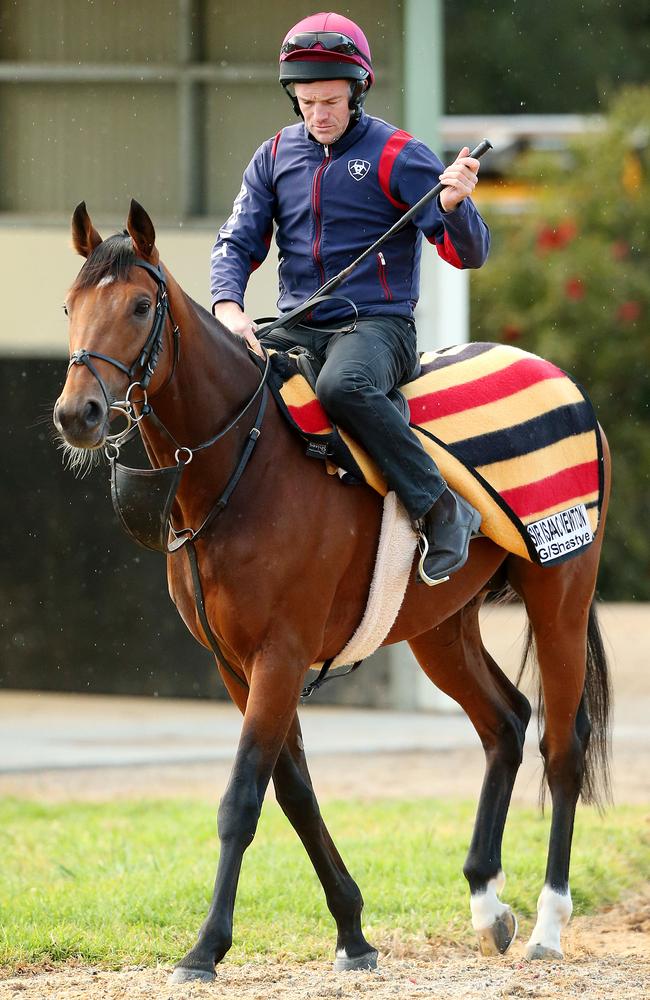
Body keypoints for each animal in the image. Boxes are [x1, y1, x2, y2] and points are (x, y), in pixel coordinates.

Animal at [52, 199, 608, 980]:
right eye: (69, 306)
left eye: (138, 306)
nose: (79, 414)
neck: (245, 462)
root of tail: (562, 382)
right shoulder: (236, 664)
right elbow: (294, 791)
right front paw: (352, 930)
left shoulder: (281, 654)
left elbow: (243, 797)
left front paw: (205, 946)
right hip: (440, 627)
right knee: (505, 721)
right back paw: (487, 902)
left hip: (560, 590)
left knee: (562, 744)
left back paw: (549, 922)